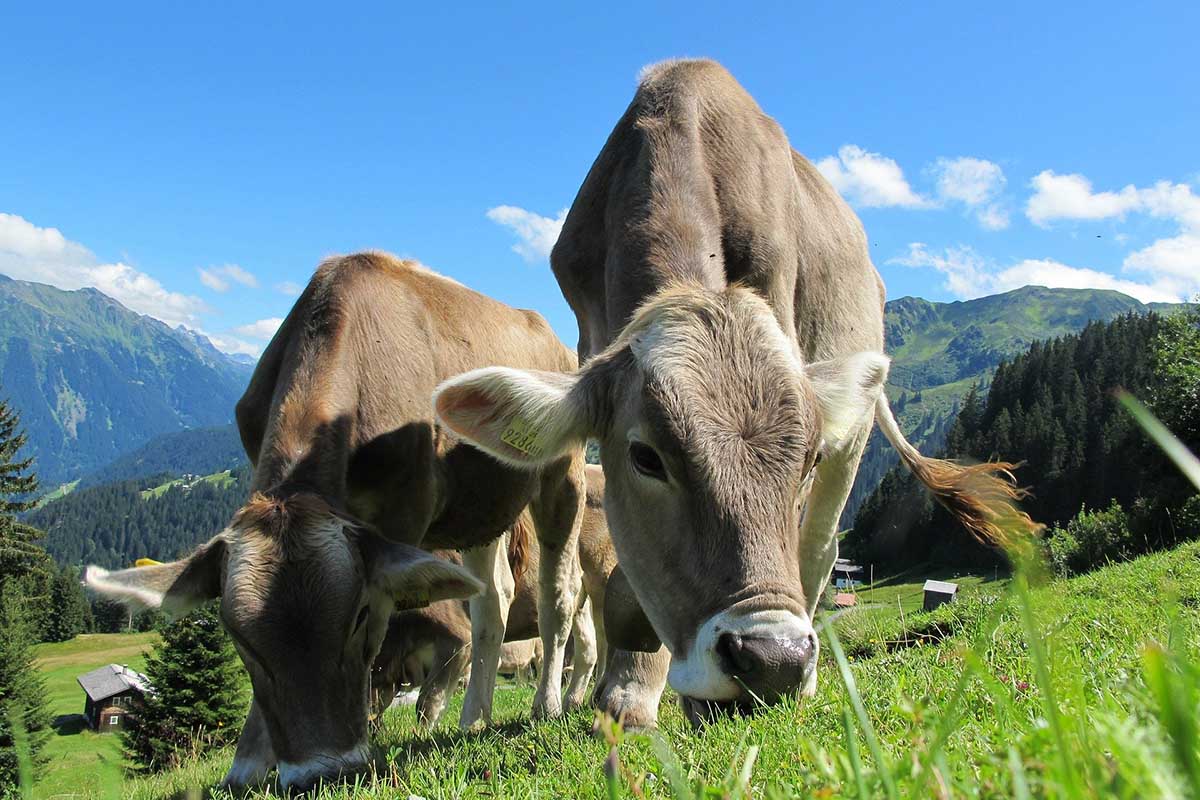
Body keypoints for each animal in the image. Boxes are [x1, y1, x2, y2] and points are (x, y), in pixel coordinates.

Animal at [82, 255, 583, 786]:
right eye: (237, 637)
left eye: (357, 615)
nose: (322, 772)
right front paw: (249, 763)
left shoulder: (403, 515)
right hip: (479, 507)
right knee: (493, 598)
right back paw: (474, 718)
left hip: (561, 474)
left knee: (559, 591)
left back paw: (547, 705)